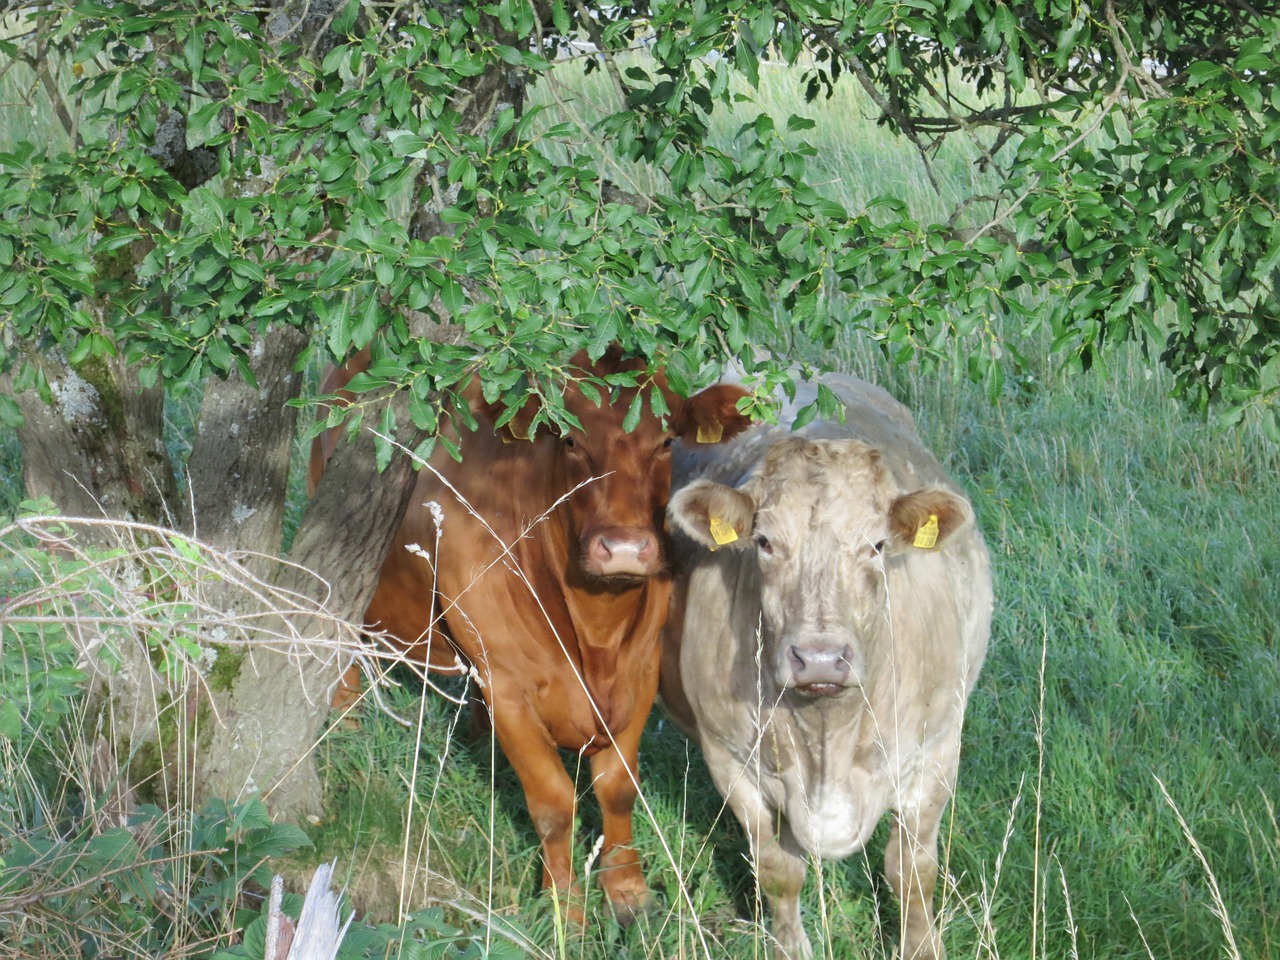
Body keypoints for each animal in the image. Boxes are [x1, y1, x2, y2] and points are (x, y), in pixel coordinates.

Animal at [309, 345, 747, 926]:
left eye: (667, 441)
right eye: (570, 440)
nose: (624, 547)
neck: (597, 635)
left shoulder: (641, 674)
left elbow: (618, 789)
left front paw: (627, 890)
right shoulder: (510, 688)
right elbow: (554, 802)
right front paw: (565, 908)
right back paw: (348, 716)